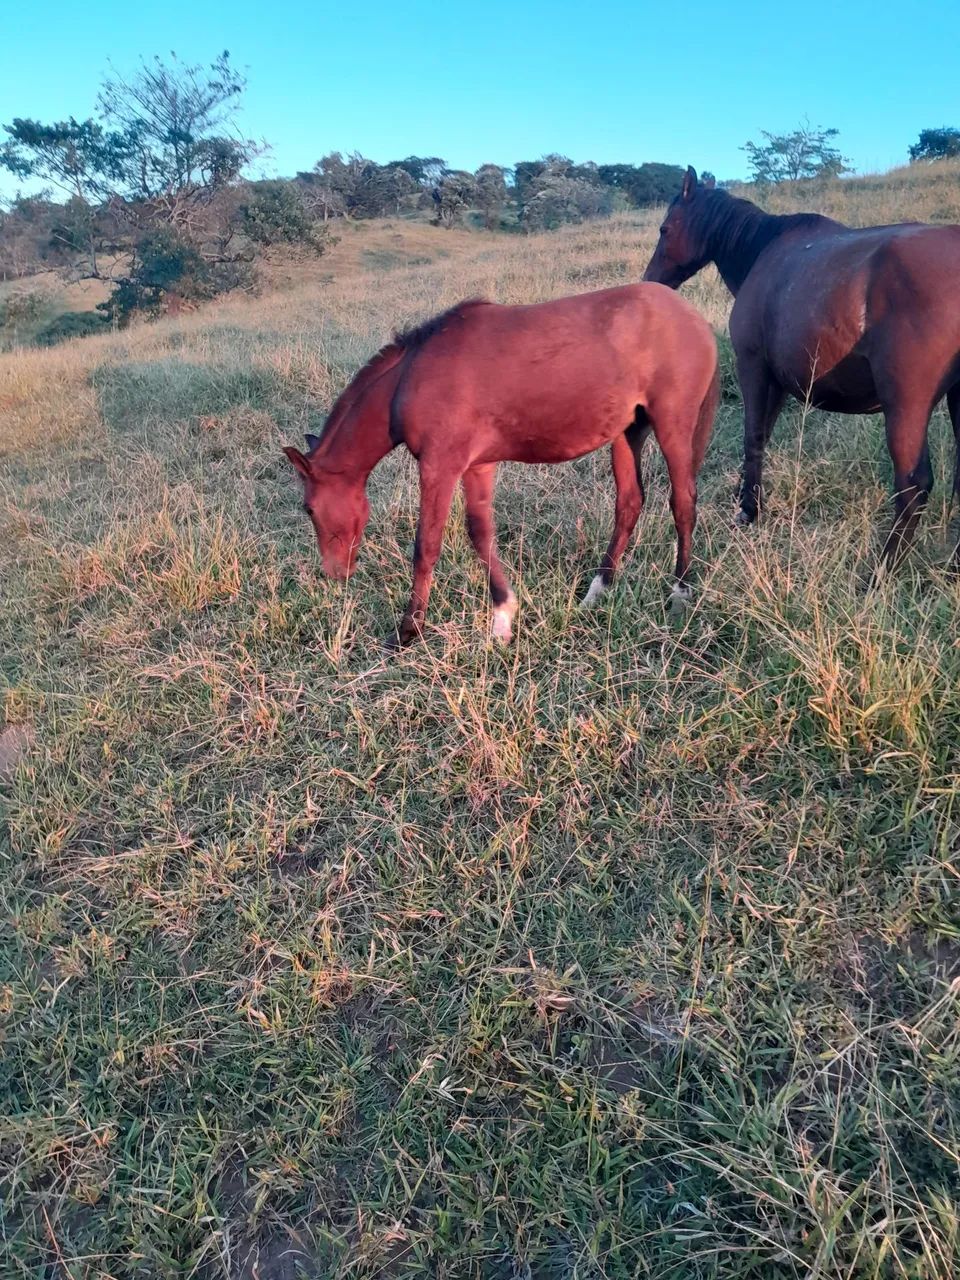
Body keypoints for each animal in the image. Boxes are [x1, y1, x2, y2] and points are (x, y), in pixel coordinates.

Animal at [283, 285, 719, 648]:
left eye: (308, 508)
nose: (334, 573)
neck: (409, 379)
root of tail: (694, 318)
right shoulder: (478, 467)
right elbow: (481, 536)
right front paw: (502, 617)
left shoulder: (439, 467)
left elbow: (426, 546)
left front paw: (408, 631)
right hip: (628, 433)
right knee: (629, 504)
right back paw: (598, 591)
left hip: (673, 425)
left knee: (683, 503)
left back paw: (679, 595)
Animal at [643, 167, 960, 572]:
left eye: (665, 229)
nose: (650, 282)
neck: (764, 251)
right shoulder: (777, 382)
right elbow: (762, 436)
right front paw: (746, 496)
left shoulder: (754, 368)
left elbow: (753, 437)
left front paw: (749, 509)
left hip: (906, 406)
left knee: (913, 484)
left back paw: (881, 570)